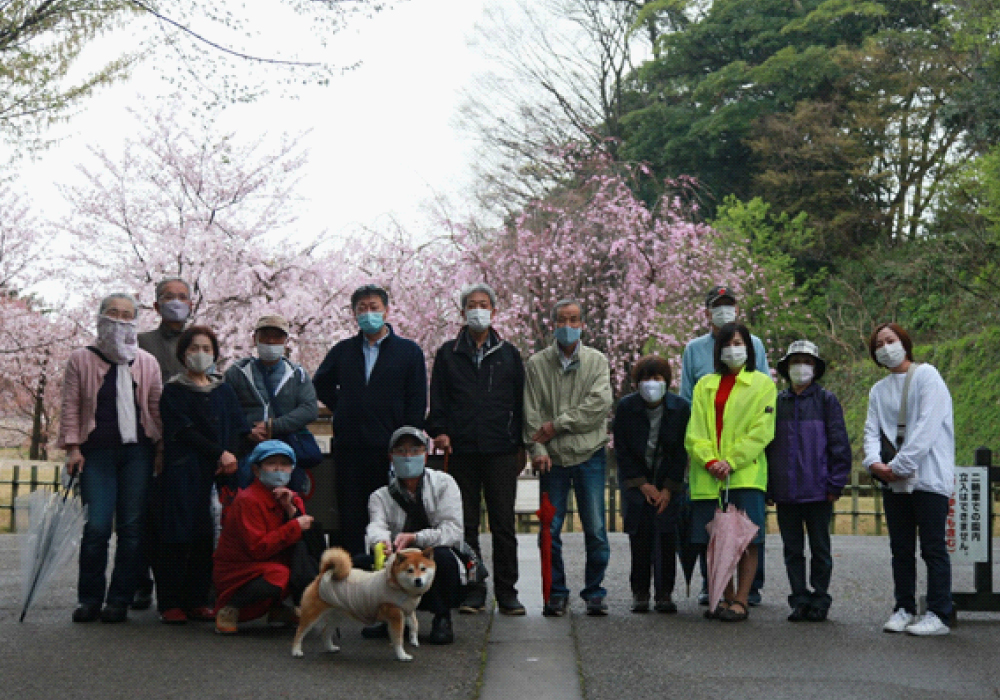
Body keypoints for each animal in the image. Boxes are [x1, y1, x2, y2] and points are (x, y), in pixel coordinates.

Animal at [292, 548, 436, 660]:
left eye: (423, 568)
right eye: (409, 570)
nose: (418, 580)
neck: (398, 586)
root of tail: (323, 574)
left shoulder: (407, 610)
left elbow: (414, 624)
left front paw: (414, 640)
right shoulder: (395, 615)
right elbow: (398, 638)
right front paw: (402, 655)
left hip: (337, 616)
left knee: (325, 632)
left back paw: (330, 648)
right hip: (312, 614)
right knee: (299, 632)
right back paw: (296, 651)